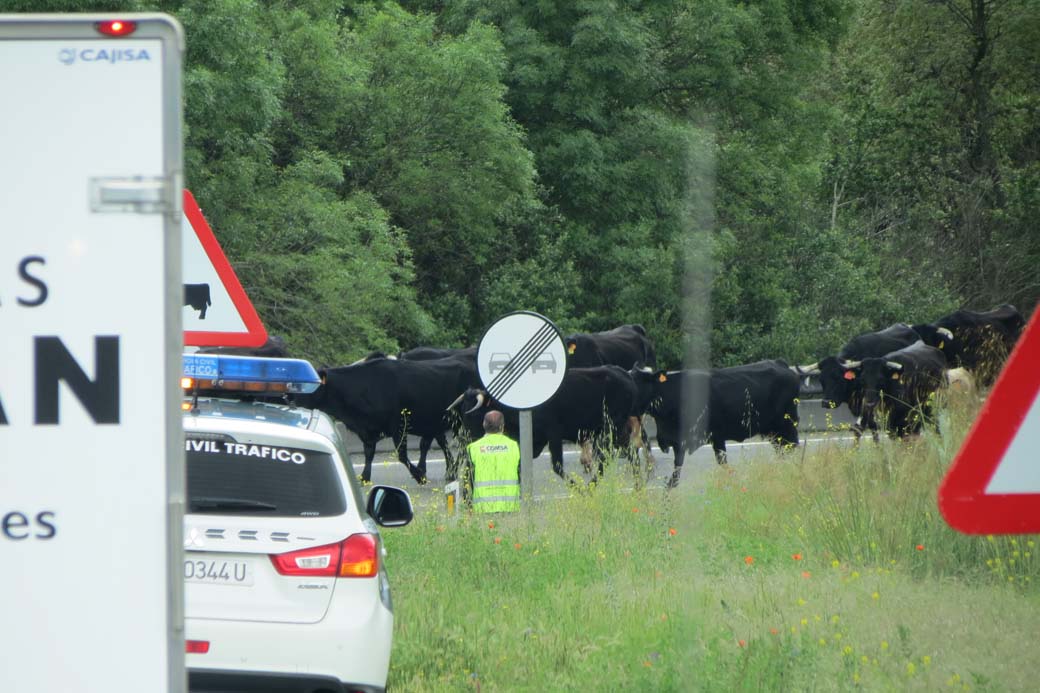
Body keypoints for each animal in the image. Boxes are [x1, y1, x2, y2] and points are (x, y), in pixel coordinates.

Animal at [299, 353, 480, 482]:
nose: (292, 398)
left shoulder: (399, 426)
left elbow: (402, 455)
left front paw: (419, 475)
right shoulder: (368, 430)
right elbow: (369, 452)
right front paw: (364, 477)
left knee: (464, 444)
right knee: (461, 445)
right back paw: (452, 472)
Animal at [455, 362, 640, 480]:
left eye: (471, 414)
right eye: (462, 411)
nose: (464, 437)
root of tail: (624, 374)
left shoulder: (554, 434)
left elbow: (557, 466)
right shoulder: (535, 441)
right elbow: (520, 465)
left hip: (610, 428)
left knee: (607, 456)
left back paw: (591, 487)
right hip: (617, 430)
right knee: (630, 453)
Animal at [640, 362, 802, 484]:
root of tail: (782, 364)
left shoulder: (713, 437)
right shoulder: (679, 442)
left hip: (787, 426)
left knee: (792, 448)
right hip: (774, 432)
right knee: (783, 451)